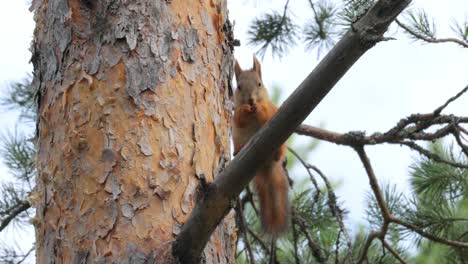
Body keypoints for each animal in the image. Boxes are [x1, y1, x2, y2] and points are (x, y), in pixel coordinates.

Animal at [231, 55, 288, 235]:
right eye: (239, 87)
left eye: (259, 84)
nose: (250, 100)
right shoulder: (236, 116)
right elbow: (239, 118)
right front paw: (245, 109)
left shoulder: (271, 110)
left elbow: (266, 113)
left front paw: (258, 108)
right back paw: (237, 151)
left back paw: (277, 154)